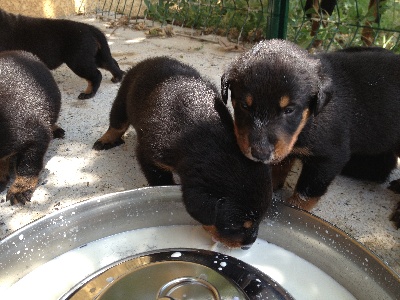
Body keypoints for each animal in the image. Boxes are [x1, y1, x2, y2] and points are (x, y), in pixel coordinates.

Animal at [94, 56, 272, 248]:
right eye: (235, 226)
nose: (249, 244)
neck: (204, 133)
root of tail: (153, 59)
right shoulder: (151, 155)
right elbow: (159, 179)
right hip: (124, 96)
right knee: (117, 122)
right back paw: (105, 140)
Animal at [220, 39, 400, 227]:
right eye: (244, 106)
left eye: (289, 110)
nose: (260, 154)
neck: (308, 121)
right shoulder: (285, 148)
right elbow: (279, 167)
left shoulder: (329, 158)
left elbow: (305, 193)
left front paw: (294, 208)